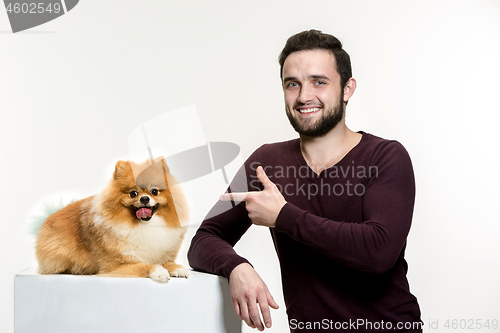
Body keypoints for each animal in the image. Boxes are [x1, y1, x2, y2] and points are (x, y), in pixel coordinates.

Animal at [35, 157, 189, 282]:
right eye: (133, 193)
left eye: (154, 191)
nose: (144, 198)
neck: (145, 226)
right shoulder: (114, 266)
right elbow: (145, 265)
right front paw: (159, 272)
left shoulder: (162, 253)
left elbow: (167, 262)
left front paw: (177, 268)